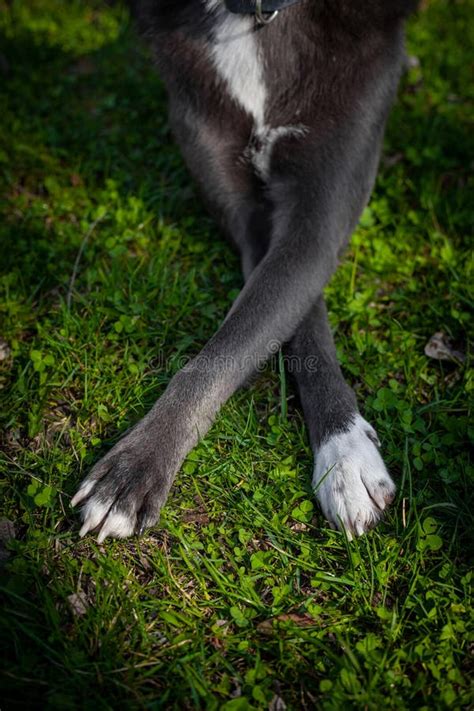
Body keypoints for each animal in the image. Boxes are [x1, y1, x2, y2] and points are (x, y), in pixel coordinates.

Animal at [69, 0, 414, 544]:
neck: (255, 24)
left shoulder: (320, 215)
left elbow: (243, 341)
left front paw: (345, 455)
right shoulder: (247, 217)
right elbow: (244, 343)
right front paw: (136, 467)